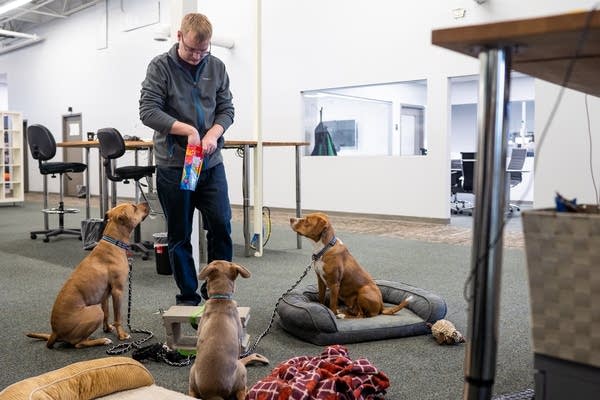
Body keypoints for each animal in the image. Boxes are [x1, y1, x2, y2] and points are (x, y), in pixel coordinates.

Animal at [27, 203, 150, 346]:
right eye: (134, 207)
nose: (146, 203)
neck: (113, 243)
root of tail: (54, 332)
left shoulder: (104, 295)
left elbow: (107, 313)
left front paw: (107, 328)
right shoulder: (117, 291)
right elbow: (117, 316)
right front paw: (122, 335)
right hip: (95, 311)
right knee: (78, 343)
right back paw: (101, 340)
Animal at [189, 260, 252, 398]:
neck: (220, 297)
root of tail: (213, 394)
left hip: (192, 370)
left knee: (191, 391)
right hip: (241, 369)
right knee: (241, 391)